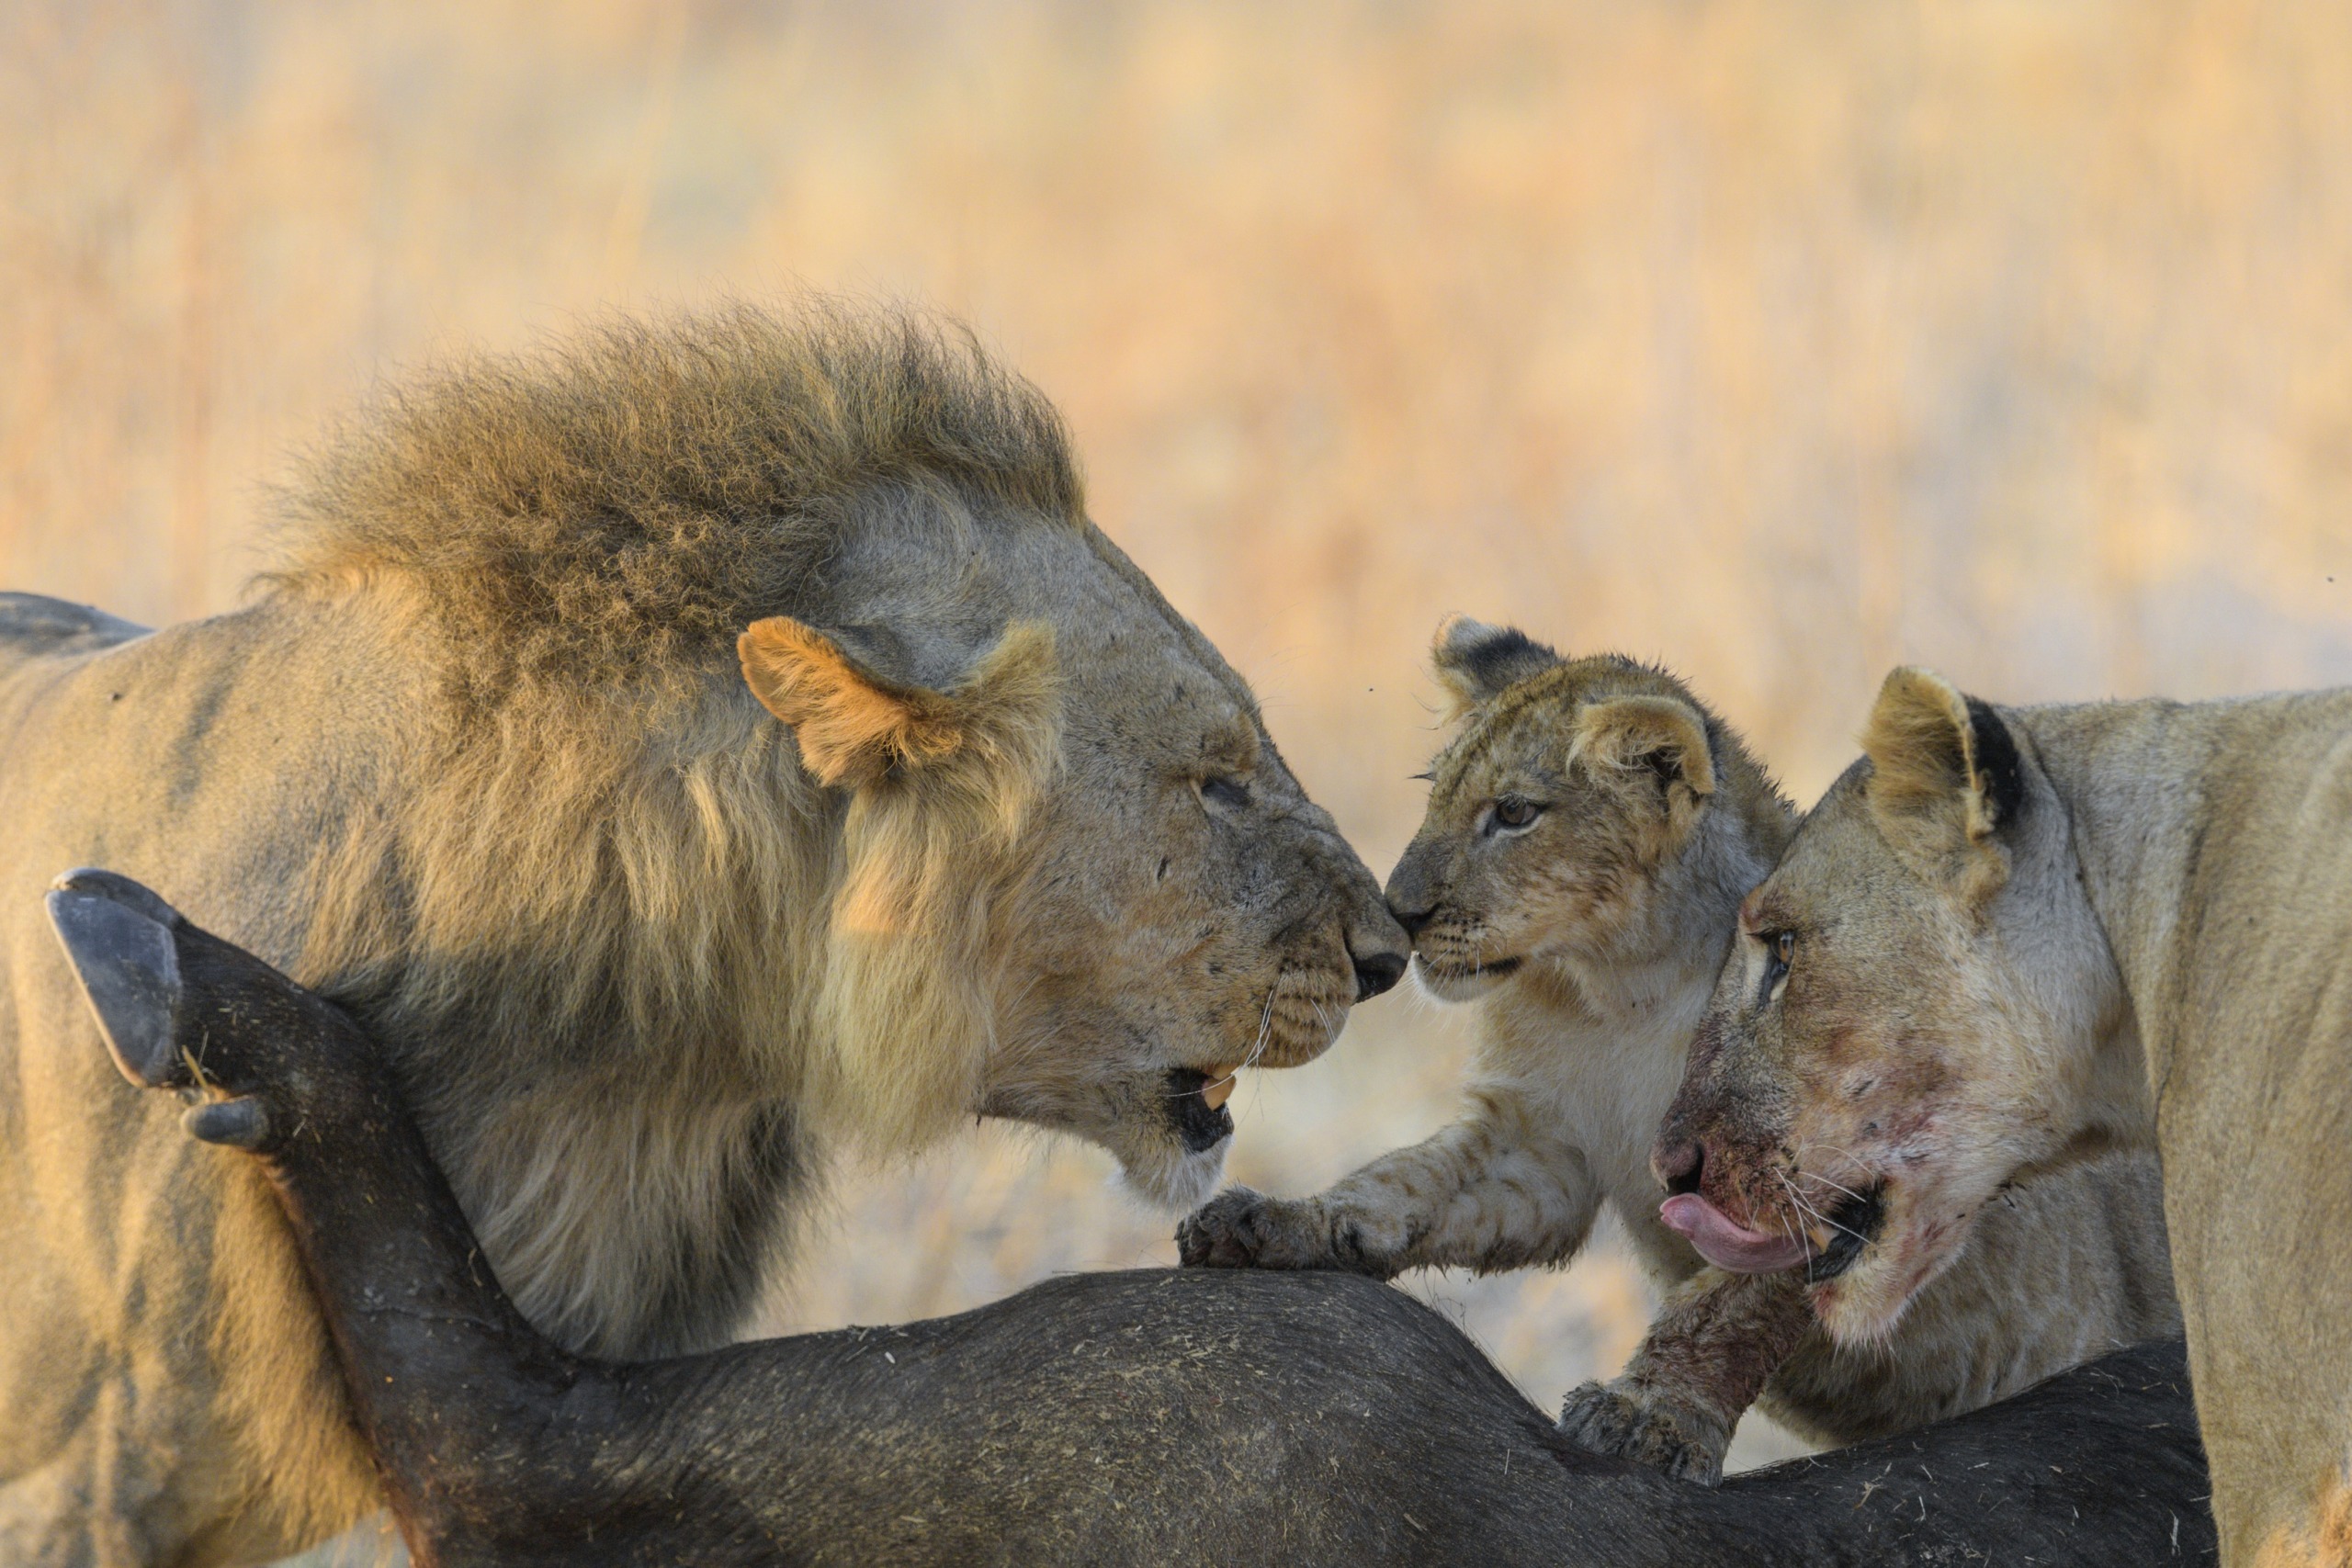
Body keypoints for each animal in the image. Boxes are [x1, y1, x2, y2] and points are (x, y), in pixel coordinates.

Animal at [1185, 620, 2173, 1476]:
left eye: (1514, 813)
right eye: (1436, 792)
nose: (1403, 911)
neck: (1619, 988)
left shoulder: (1831, 1156)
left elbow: (1724, 1307)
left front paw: (1646, 1413)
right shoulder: (1539, 1145)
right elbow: (1404, 1182)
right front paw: (1279, 1219)